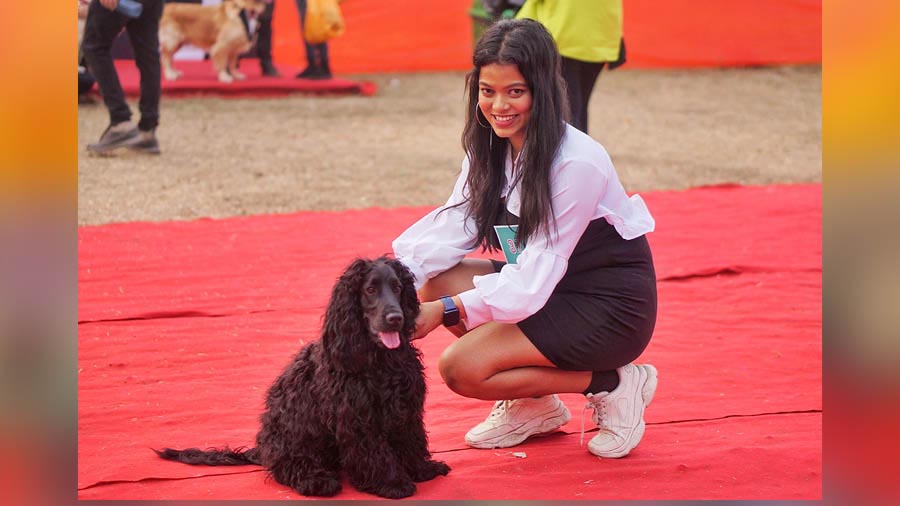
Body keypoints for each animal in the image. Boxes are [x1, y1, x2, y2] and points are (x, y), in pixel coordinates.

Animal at [157, 256, 450, 498]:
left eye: (398, 288)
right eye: (370, 289)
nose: (395, 318)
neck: (379, 361)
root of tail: (263, 449)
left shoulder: (406, 410)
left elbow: (410, 440)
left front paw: (421, 469)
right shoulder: (358, 419)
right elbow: (375, 453)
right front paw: (392, 483)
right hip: (296, 436)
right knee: (287, 467)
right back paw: (316, 480)